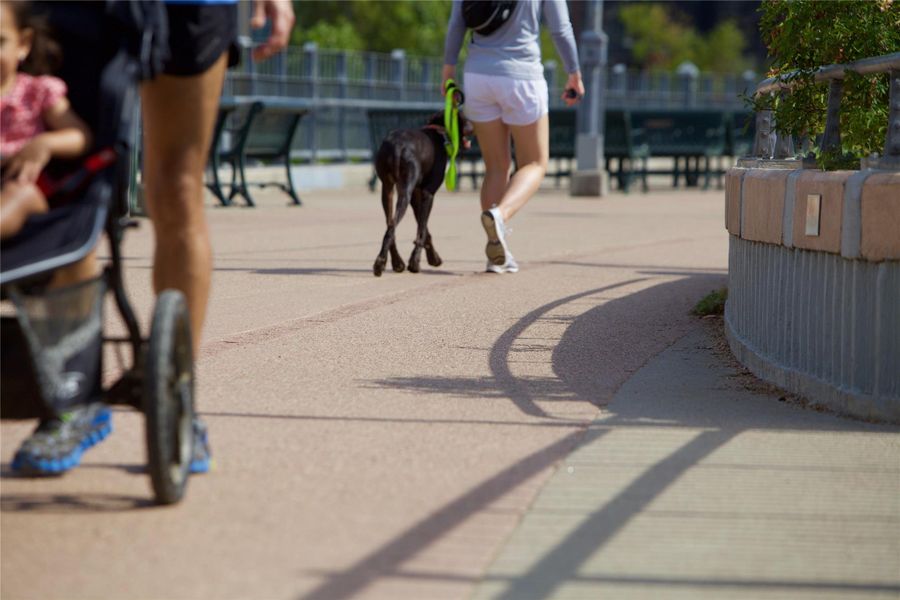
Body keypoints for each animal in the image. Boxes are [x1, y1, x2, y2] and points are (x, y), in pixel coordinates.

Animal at [370, 110, 472, 276]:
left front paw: (433, 258)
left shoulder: (416, 195)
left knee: (390, 225)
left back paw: (392, 263)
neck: (439, 132)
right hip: (405, 191)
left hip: (388, 189)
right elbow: (422, 230)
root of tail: (397, 146)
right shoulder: (428, 193)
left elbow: (424, 228)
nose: (473, 127)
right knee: (392, 227)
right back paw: (387, 263)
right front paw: (415, 263)